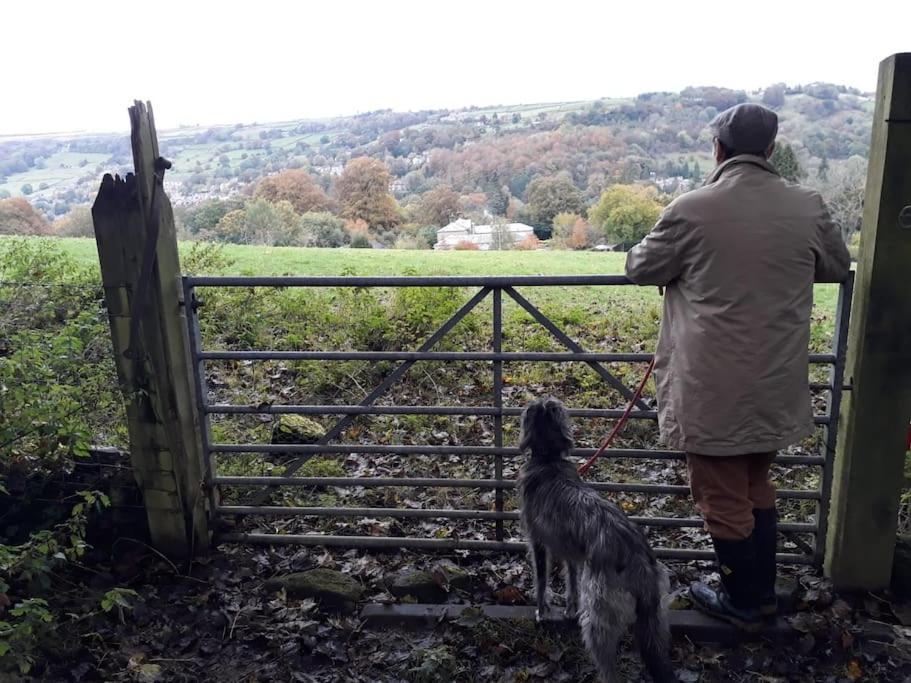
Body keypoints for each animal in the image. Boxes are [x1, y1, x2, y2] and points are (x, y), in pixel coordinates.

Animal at [520, 396, 676, 683]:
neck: (548, 460)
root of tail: (636, 556)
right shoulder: (570, 551)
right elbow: (571, 580)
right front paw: (569, 608)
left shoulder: (538, 541)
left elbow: (541, 579)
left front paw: (542, 612)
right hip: (655, 618)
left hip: (598, 614)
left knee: (608, 668)